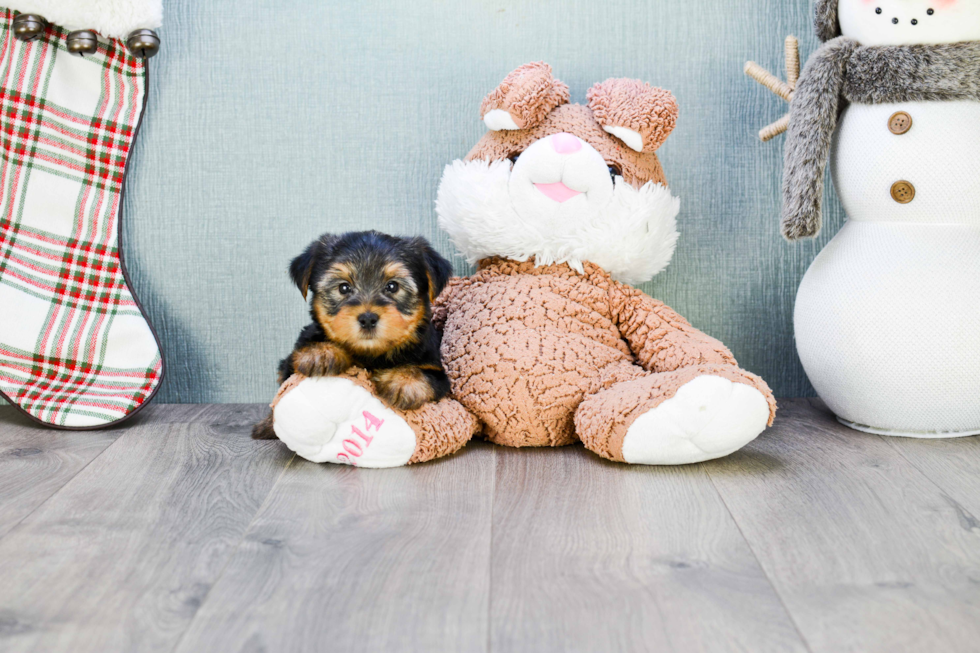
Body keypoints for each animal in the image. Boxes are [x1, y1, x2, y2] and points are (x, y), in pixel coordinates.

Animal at [251, 229, 454, 438]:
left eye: (392, 286)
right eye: (343, 287)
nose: (368, 318)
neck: (370, 354)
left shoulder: (437, 370)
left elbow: (428, 375)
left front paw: (404, 382)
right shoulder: (292, 358)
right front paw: (321, 352)